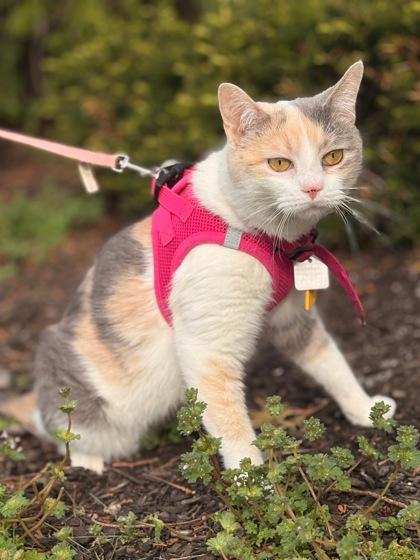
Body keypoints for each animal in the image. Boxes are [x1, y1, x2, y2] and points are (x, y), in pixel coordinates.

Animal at [9, 61, 396, 473]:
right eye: (279, 163)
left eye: (333, 157)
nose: (313, 188)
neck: (259, 232)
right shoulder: (208, 347)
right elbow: (228, 416)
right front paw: (252, 475)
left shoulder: (292, 317)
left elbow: (330, 360)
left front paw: (365, 407)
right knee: (59, 428)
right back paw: (87, 463)